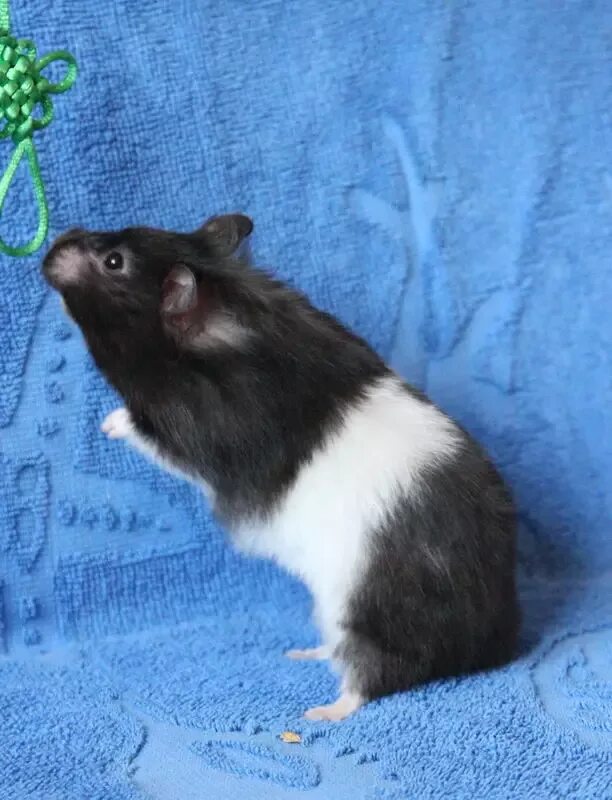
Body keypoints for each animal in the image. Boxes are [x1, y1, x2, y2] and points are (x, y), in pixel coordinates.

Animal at [42, 214, 520, 722]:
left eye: (114, 262)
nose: (54, 244)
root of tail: (493, 637)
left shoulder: (192, 434)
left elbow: (144, 431)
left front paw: (107, 423)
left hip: (368, 612)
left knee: (381, 673)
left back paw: (321, 711)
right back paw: (307, 654)